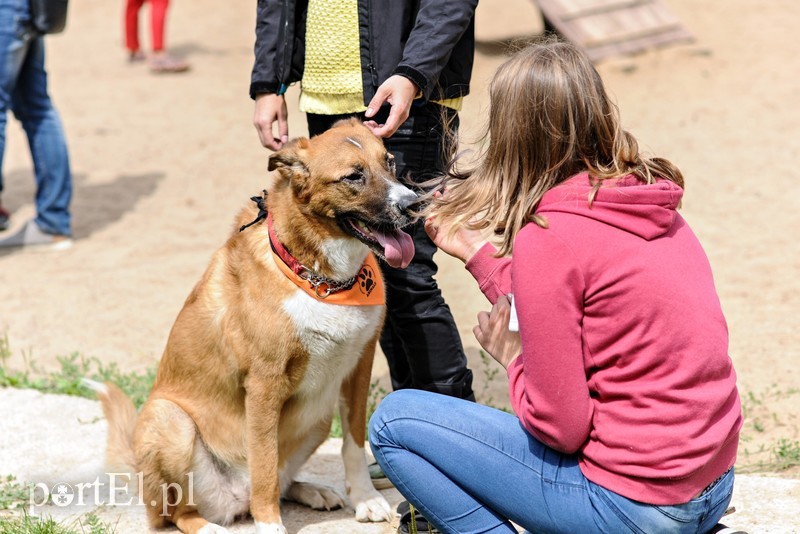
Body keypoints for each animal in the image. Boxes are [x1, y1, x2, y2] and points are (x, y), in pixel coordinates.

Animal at [89, 120, 418, 534]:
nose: (415, 204)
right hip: (170, 421)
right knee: (178, 513)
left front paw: (365, 499)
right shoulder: (264, 384)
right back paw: (212, 526)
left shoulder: (359, 367)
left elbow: (354, 443)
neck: (324, 280)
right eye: (353, 176)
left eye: (389, 162)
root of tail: (235, 501)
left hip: (318, 413)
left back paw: (311, 491)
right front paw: (270, 525)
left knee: (282, 481)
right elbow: (263, 462)